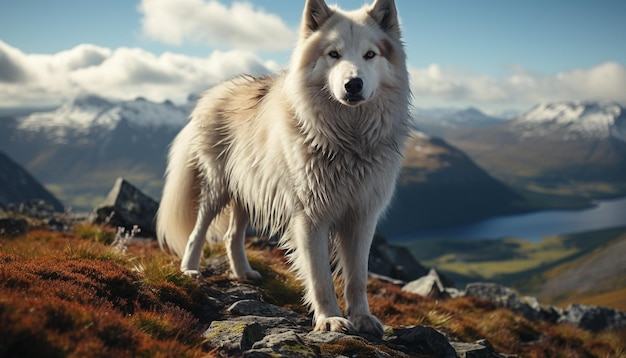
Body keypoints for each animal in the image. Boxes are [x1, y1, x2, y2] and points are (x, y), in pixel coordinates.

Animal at [157, 0, 410, 336]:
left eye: (370, 55)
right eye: (334, 54)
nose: (353, 84)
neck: (348, 142)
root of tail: (214, 91)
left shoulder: (361, 217)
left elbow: (357, 276)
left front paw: (362, 318)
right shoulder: (310, 219)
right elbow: (320, 276)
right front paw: (329, 319)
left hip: (248, 192)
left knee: (232, 236)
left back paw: (243, 273)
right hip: (217, 189)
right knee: (197, 231)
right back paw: (189, 270)